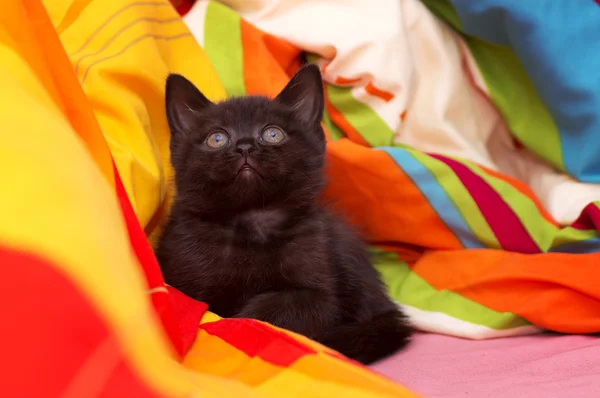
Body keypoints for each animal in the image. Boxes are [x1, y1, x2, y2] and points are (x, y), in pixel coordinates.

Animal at [155, 64, 412, 364]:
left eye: (272, 134)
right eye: (217, 138)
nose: (244, 146)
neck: (250, 222)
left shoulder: (317, 291)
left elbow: (270, 313)